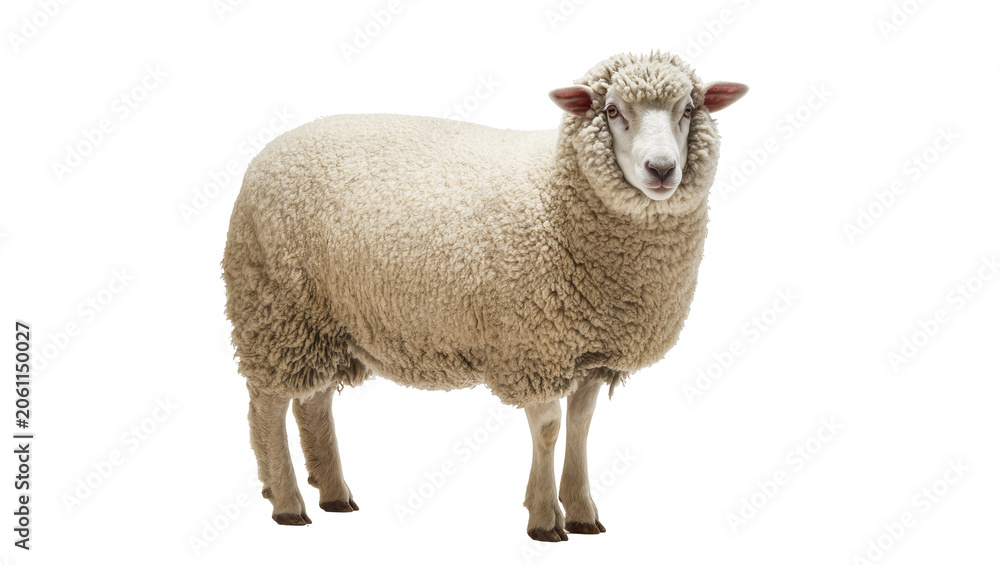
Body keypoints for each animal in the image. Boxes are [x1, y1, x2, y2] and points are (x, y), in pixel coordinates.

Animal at [222, 51, 747, 540]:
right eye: (613, 110)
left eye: (688, 109)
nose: (662, 169)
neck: (558, 197)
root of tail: (268, 151)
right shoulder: (534, 346)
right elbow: (549, 429)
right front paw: (544, 518)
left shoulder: (588, 350)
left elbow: (581, 426)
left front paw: (581, 512)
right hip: (276, 306)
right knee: (268, 403)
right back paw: (287, 501)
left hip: (324, 320)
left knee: (312, 401)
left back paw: (333, 493)